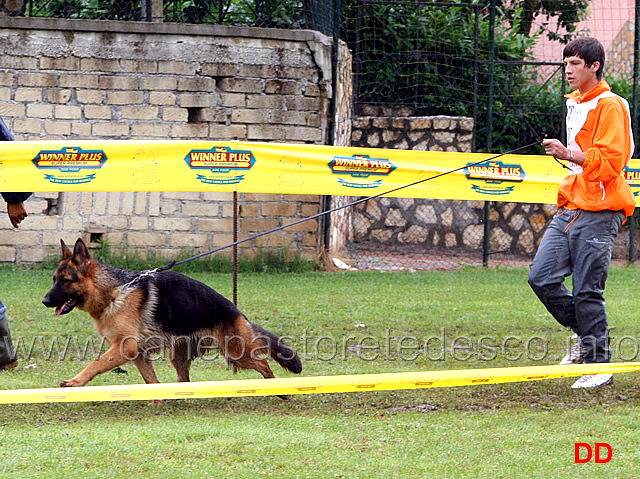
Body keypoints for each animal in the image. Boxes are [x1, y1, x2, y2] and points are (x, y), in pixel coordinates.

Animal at [42, 238, 302, 392]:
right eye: (54, 279)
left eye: (65, 281)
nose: (44, 301)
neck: (114, 291)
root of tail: (238, 312)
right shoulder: (138, 353)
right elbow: (151, 382)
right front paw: (157, 400)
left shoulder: (124, 347)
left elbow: (95, 364)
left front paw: (76, 382)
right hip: (180, 356)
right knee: (184, 380)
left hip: (237, 353)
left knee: (264, 364)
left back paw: (279, 391)